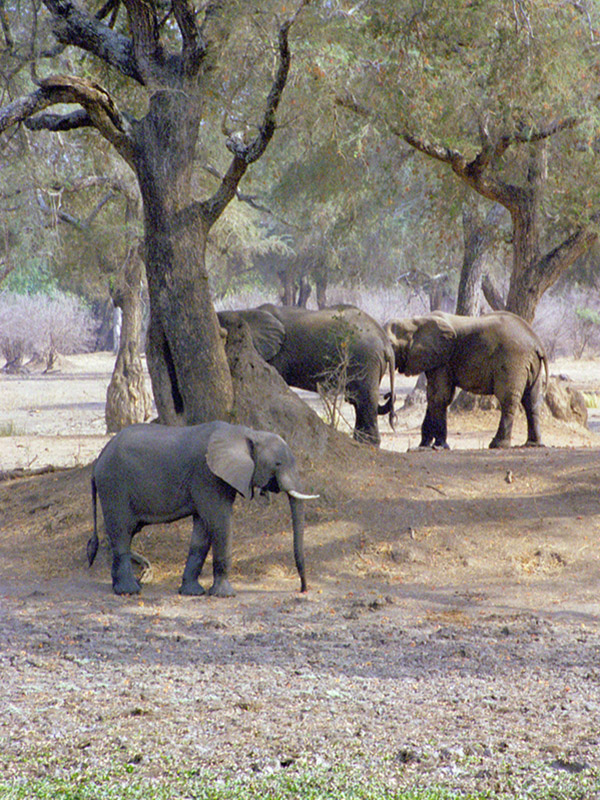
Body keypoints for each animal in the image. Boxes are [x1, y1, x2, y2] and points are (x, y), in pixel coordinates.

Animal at [88, 422, 318, 596]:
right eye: (278, 463)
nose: (303, 589)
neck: (247, 433)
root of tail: (99, 458)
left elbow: (202, 531)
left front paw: (193, 593)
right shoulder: (208, 476)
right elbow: (220, 522)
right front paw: (225, 595)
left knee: (124, 533)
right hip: (114, 485)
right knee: (121, 532)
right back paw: (129, 591)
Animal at [218, 304, 396, 446]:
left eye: (223, 337)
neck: (244, 311)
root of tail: (385, 342)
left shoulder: (276, 355)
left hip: (365, 361)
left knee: (365, 400)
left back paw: (368, 444)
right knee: (359, 402)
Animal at [384, 310, 548, 450]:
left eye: (391, 345)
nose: (393, 422)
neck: (414, 322)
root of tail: (537, 342)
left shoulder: (443, 359)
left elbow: (439, 396)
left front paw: (439, 446)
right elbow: (434, 396)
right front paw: (422, 446)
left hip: (513, 361)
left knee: (508, 400)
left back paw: (497, 445)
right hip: (531, 365)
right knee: (531, 400)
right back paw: (533, 444)